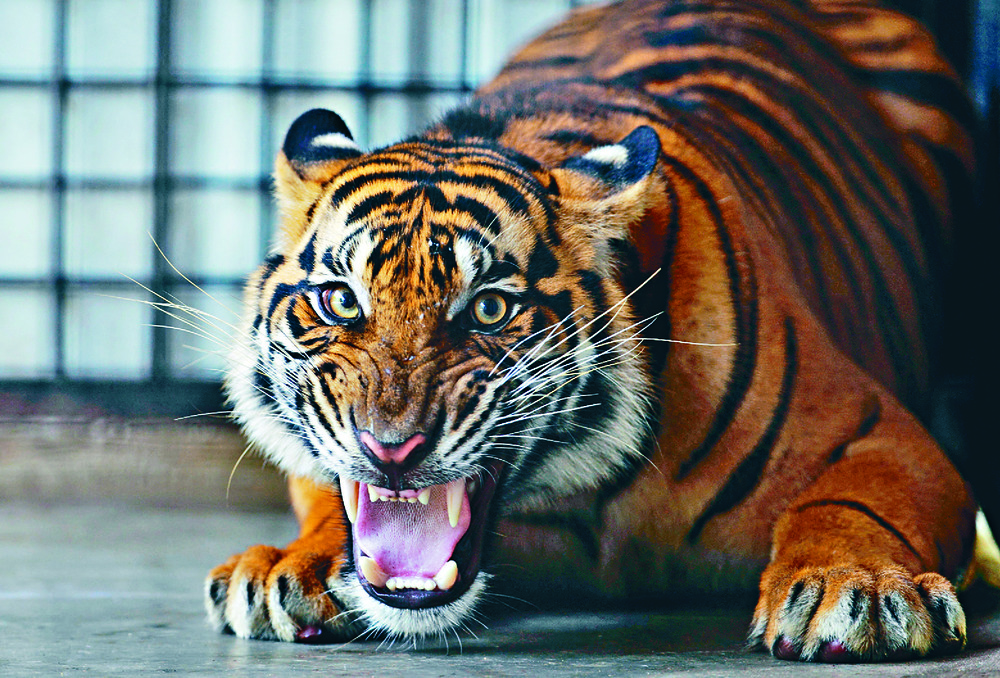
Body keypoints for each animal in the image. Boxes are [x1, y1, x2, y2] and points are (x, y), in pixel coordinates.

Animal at [203, 0, 995, 662]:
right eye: (340, 301)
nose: (389, 448)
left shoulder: (883, 433)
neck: (596, 497)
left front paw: (858, 588)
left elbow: (851, 504)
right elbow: (328, 501)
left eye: (488, 309)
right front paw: (288, 565)